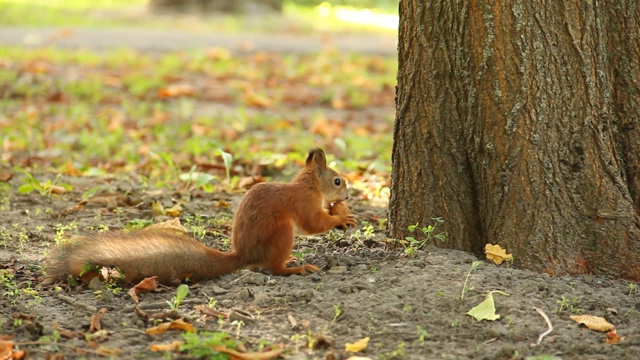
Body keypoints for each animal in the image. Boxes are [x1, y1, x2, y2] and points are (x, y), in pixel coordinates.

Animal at [43, 148, 358, 286]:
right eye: (338, 181)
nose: (347, 196)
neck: (309, 185)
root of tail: (243, 254)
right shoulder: (303, 204)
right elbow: (313, 224)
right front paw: (340, 218)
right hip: (281, 233)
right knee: (273, 267)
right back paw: (295, 268)